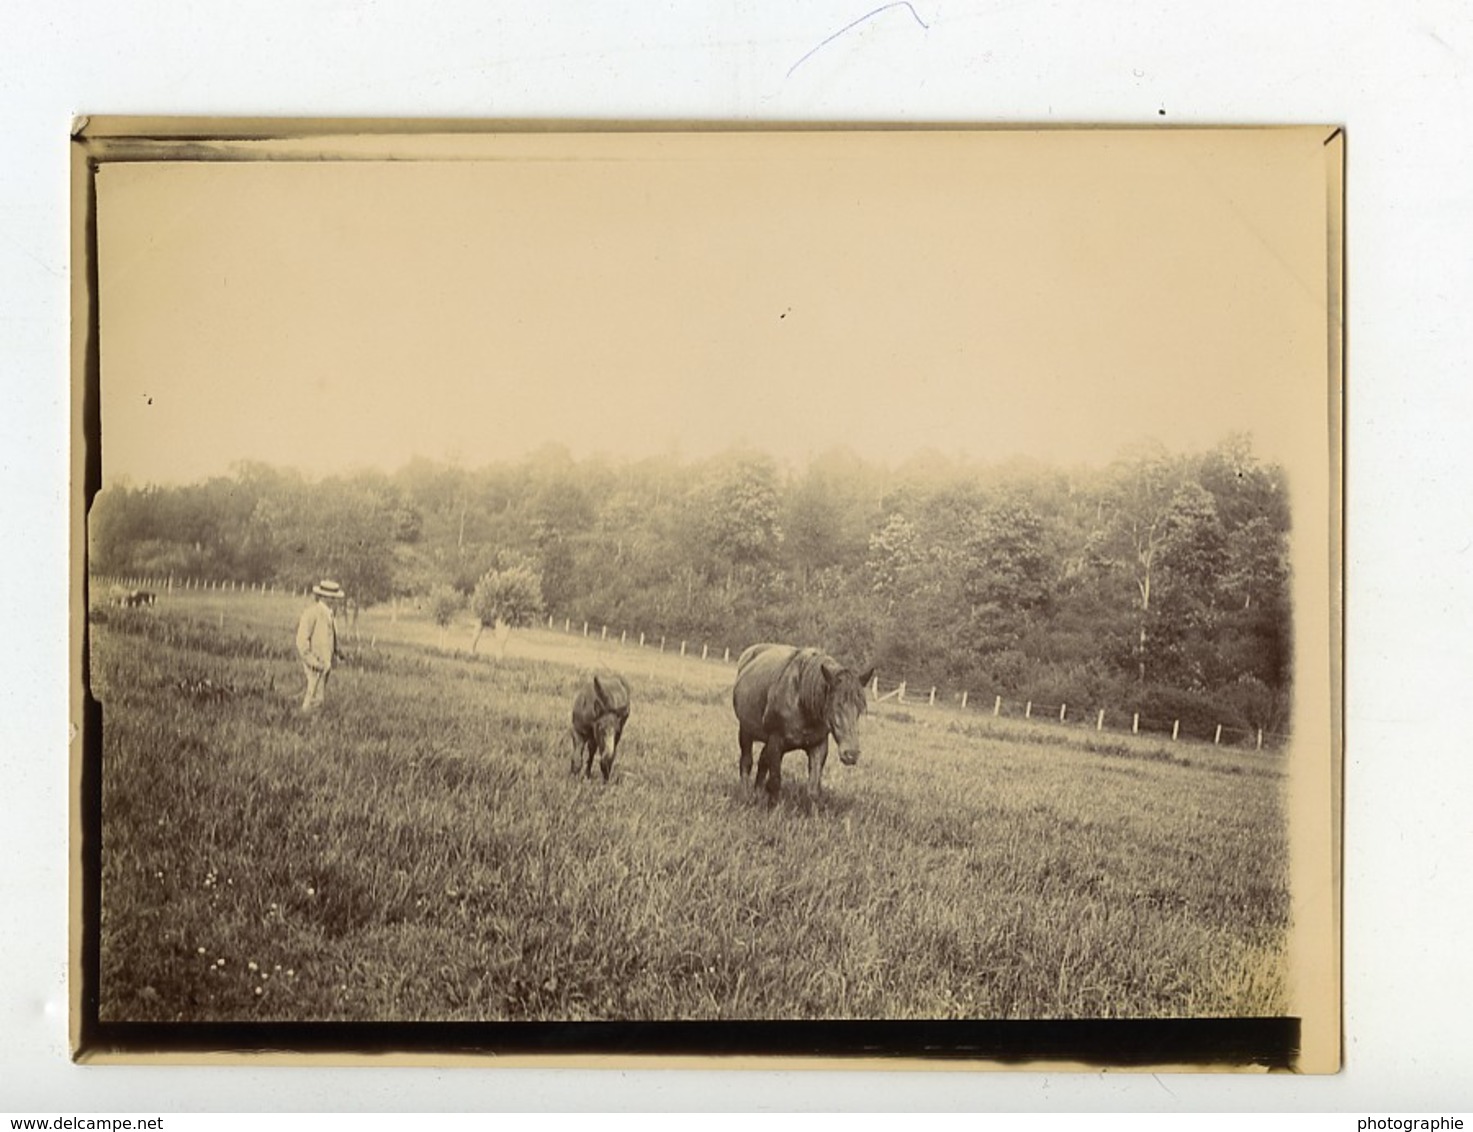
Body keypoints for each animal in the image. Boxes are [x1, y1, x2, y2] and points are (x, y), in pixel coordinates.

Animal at [727, 645, 866, 801]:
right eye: (836, 705)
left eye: (860, 708)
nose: (851, 754)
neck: (801, 698)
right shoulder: (776, 741)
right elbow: (774, 782)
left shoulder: (818, 746)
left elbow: (813, 789)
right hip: (746, 731)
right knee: (746, 762)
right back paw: (746, 796)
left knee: (762, 761)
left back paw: (757, 794)